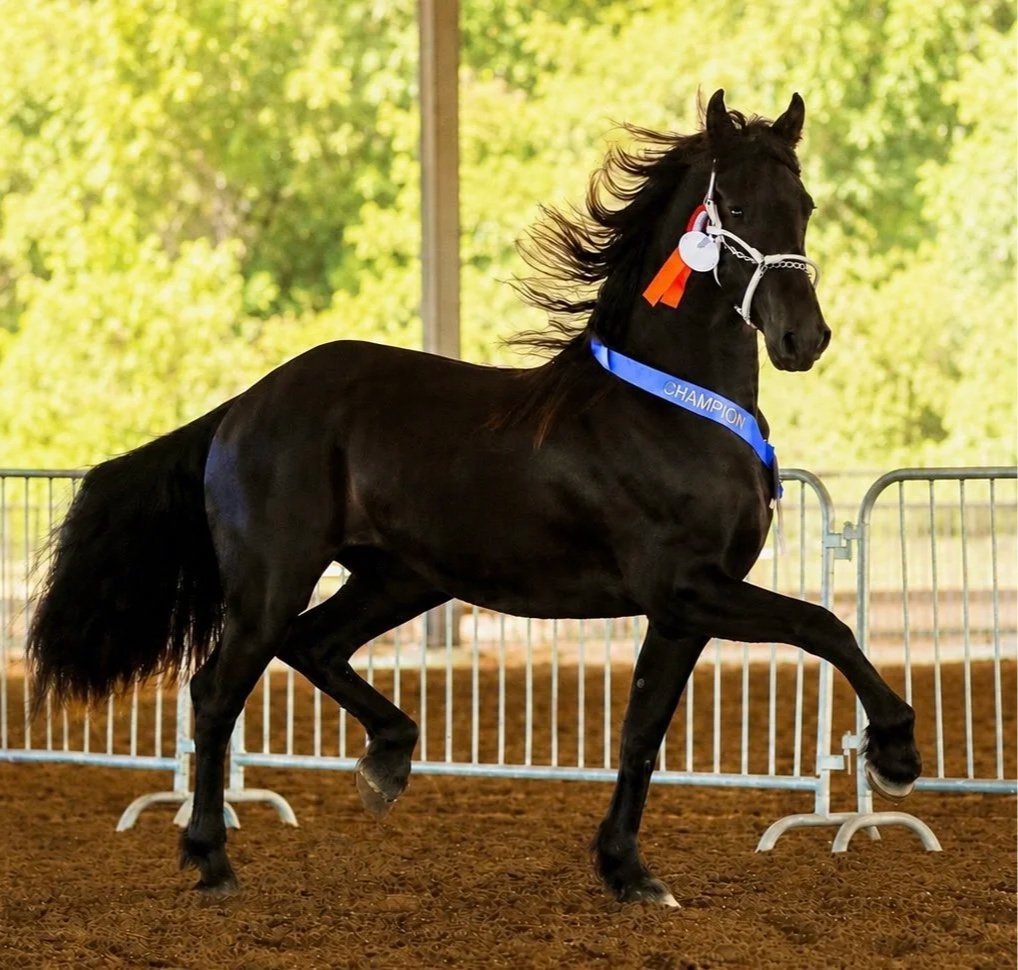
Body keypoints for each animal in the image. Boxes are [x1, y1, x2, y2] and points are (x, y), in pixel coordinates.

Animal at [27, 89, 921, 906]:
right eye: (732, 206)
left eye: (802, 206)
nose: (804, 338)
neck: (666, 407)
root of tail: (241, 408)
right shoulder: (687, 587)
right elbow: (826, 625)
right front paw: (897, 752)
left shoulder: (683, 610)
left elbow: (641, 732)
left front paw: (628, 872)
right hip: (272, 580)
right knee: (217, 692)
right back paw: (212, 858)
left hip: (402, 578)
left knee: (314, 645)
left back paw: (387, 761)